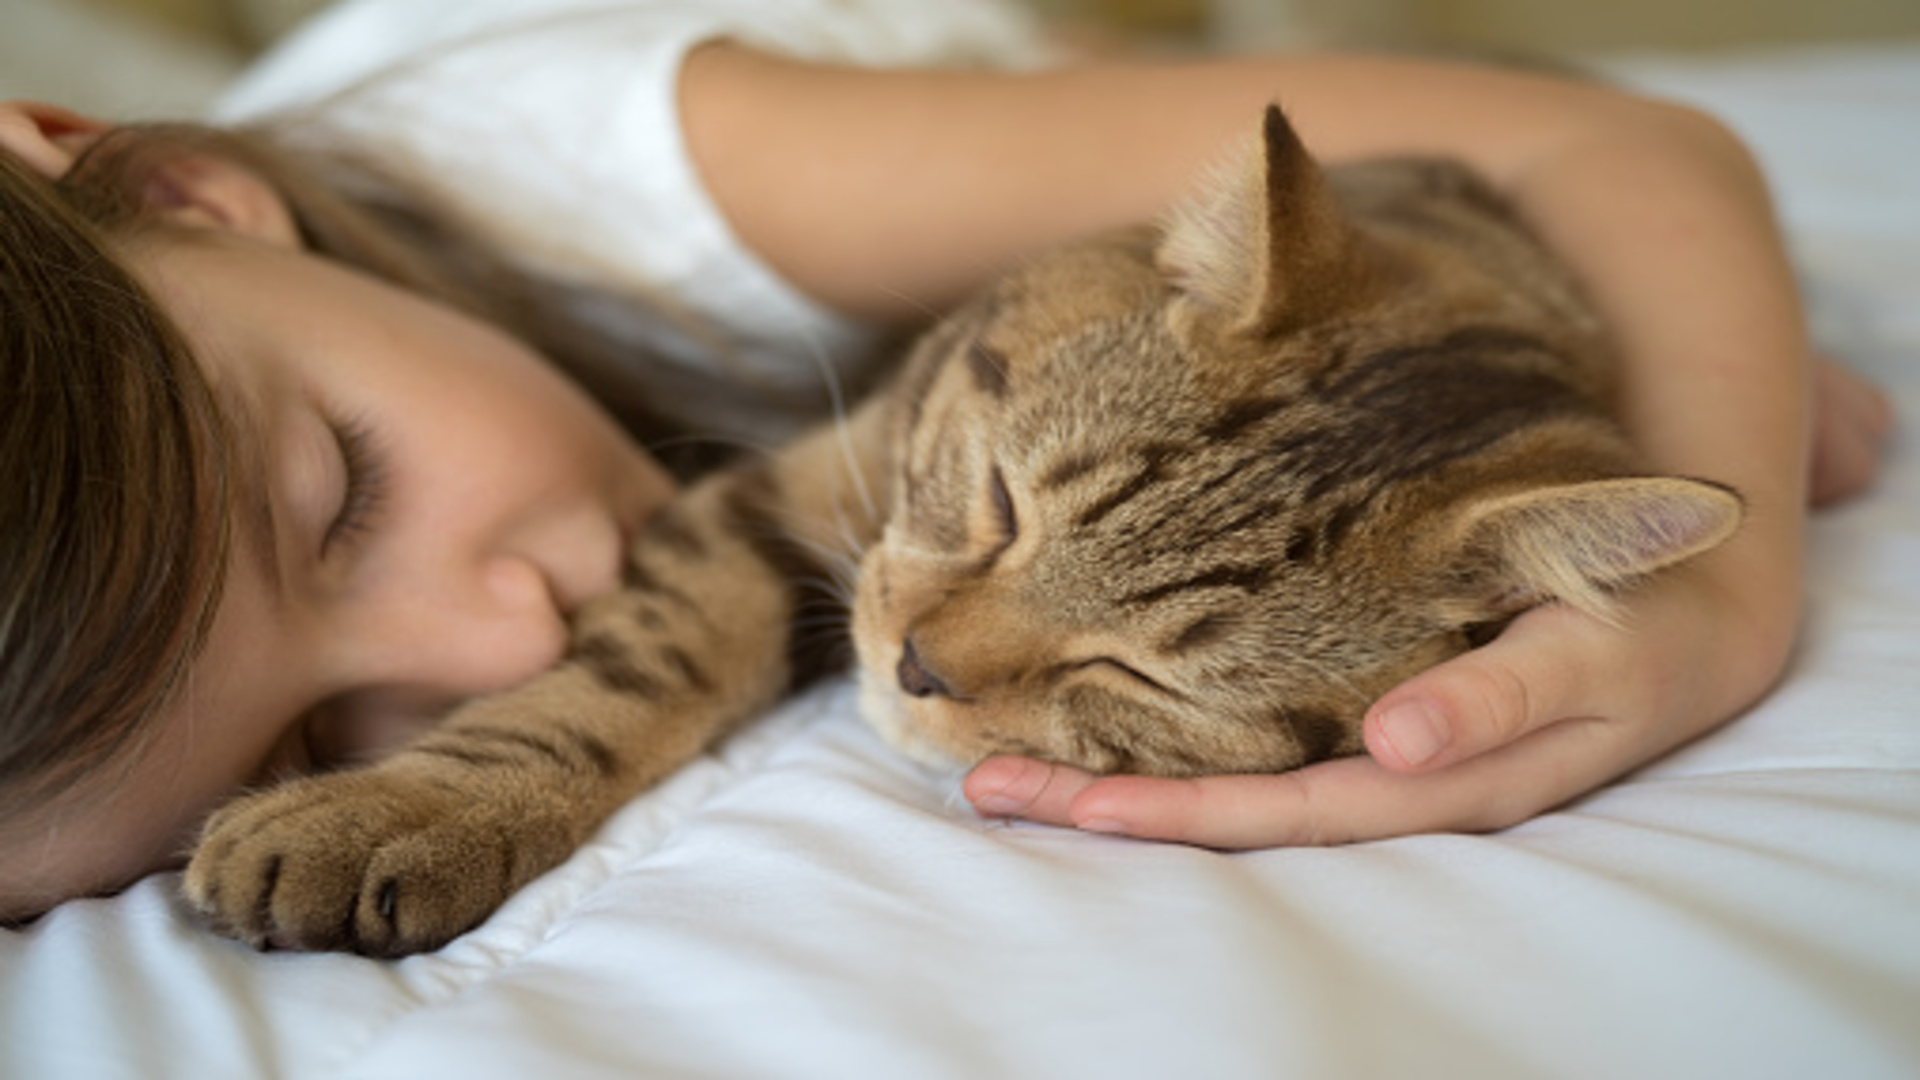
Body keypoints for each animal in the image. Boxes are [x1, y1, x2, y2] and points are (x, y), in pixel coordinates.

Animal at [180, 107, 1743, 949]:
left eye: (1139, 676)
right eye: (1000, 502)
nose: (917, 667)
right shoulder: (792, 490)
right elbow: (627, 675)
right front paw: (405, 810)